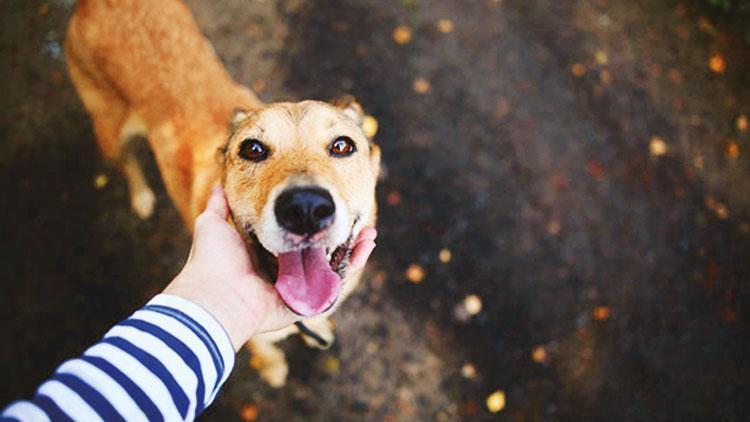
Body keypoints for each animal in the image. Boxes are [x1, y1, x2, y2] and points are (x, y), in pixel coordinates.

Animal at [64, 0, 382, 388]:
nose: (305, 208)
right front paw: (274, 370)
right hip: (109, 128)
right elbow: (265, 352)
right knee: (126, 161)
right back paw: (141, 196)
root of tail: (94, 4)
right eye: (253, 149)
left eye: (342, 146)